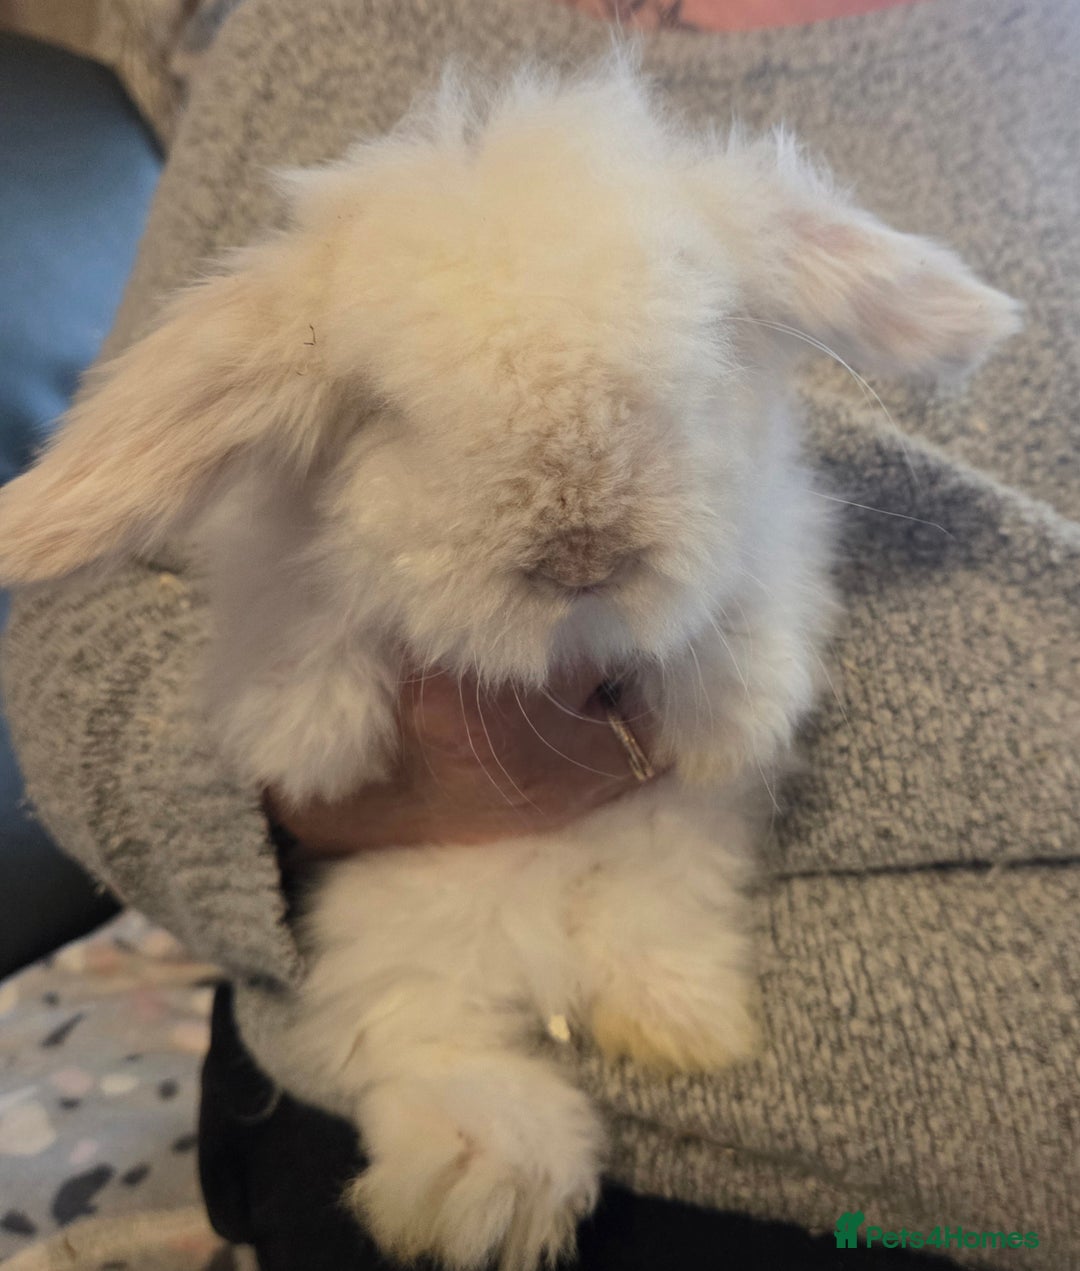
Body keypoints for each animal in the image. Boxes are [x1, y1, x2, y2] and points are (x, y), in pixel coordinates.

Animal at [0, 59, 1018, 1271]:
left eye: (702, 361)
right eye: (388, 410)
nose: (583, 549)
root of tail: (547, 963)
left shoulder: (777, 527)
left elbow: (748, 605)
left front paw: (731, 715)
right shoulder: (274, 563)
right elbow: (301, 612)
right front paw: (314, 736)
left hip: (665, 857)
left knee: (646, 928)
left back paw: (678, 1022)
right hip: (401, 945)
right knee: (431, 1051)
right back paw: (485, 1185)